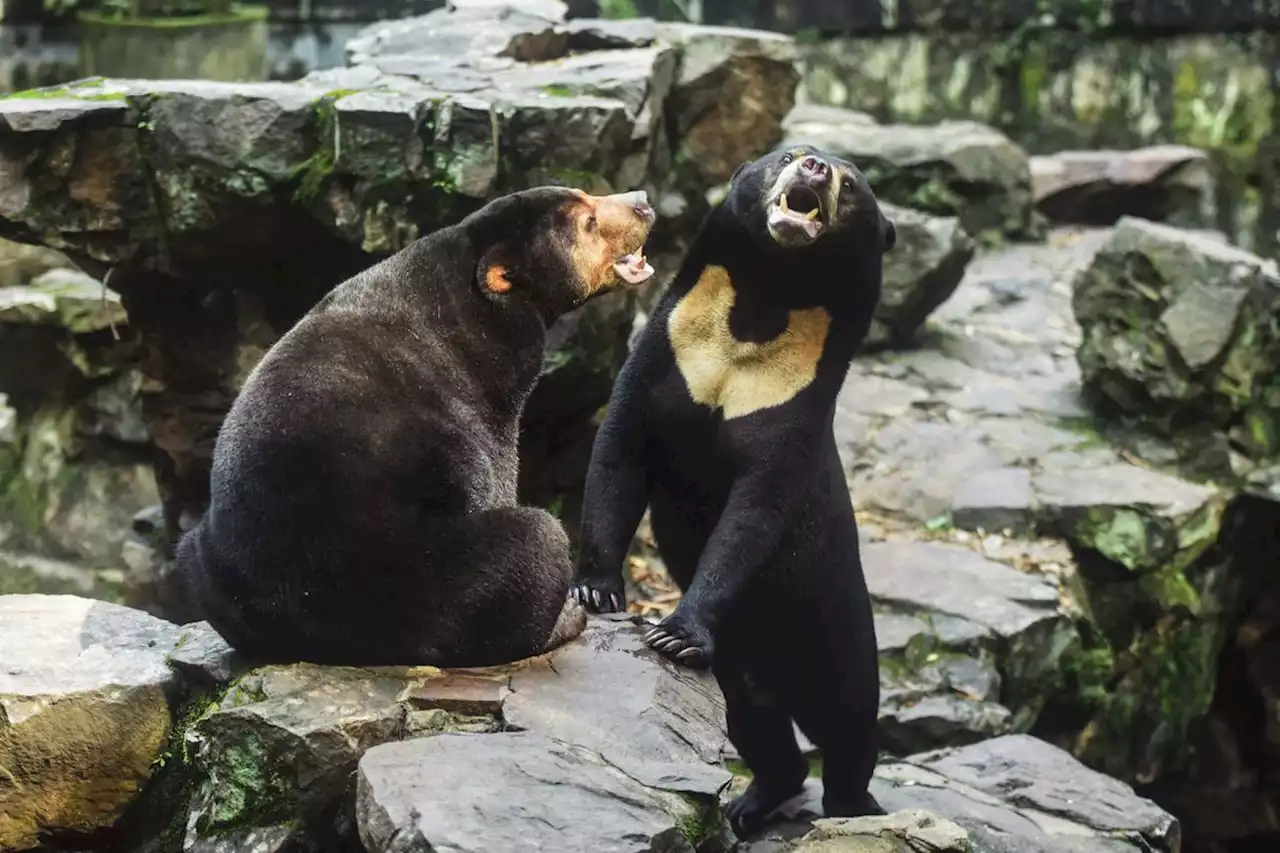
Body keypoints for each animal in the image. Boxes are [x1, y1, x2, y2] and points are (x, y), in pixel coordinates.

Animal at [176, 184, 655, 666]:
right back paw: (564, 620)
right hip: (412, 573)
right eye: (588, 223)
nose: (643, 201)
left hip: (204, 559)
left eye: (588, 196)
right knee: (533, 544)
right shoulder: (488, 397)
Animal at [570, 144, 901, 829]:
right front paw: (596, 591)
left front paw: (673, 632)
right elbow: (618, 453)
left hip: (835, 621)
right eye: (788, 155)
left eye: (853, 184)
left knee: (848, 718)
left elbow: (753, 514)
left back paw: (851, 807)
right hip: (747, 663)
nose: (814, 168)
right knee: (755, 717)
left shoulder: (792, 405)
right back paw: (754, 802)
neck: (764, 301)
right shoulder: (663, 359)